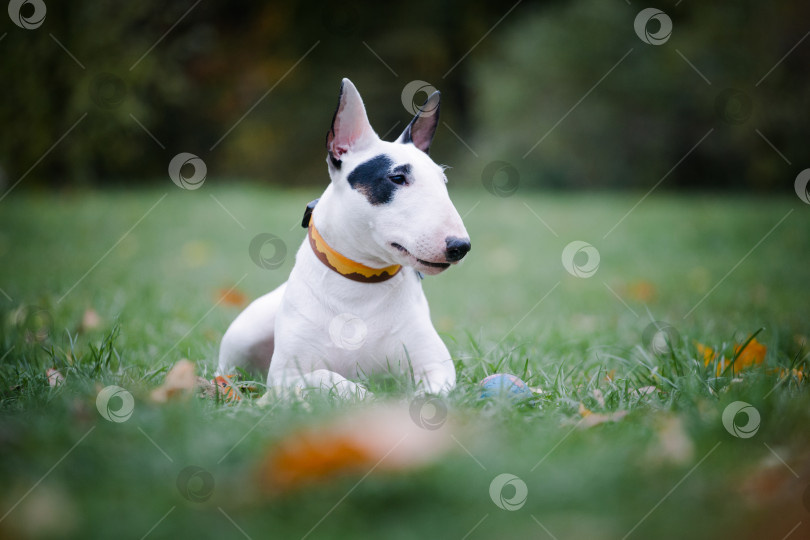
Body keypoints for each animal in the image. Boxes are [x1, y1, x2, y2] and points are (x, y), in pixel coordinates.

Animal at [218, 78, 470, 394]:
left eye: (443, 181)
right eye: (397, 178)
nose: (460, 246)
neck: (360, 281)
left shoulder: (435, 366)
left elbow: (432, 392)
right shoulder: (287, 376)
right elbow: (330, 379)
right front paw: (366, 396)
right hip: (244, 334)